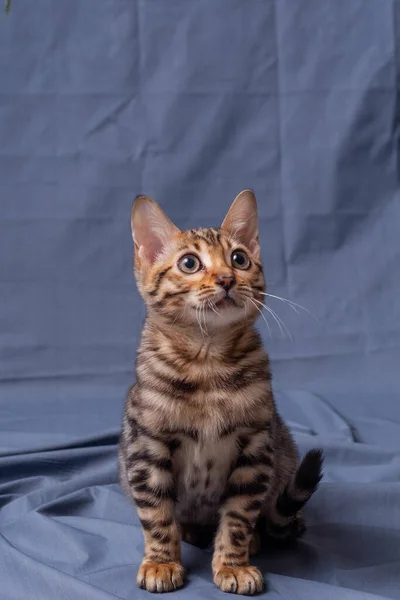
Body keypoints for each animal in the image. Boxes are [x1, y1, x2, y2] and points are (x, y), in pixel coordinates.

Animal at [119, 191, 322, 596]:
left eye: (239, 259)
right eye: (189, 263)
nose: (227, 278)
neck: (207, 363)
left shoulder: (256, 447)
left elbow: (238, 517)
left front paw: (233, 565)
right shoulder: (147, 447)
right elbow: (157, 514)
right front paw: (161, 562)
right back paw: (190, 531)